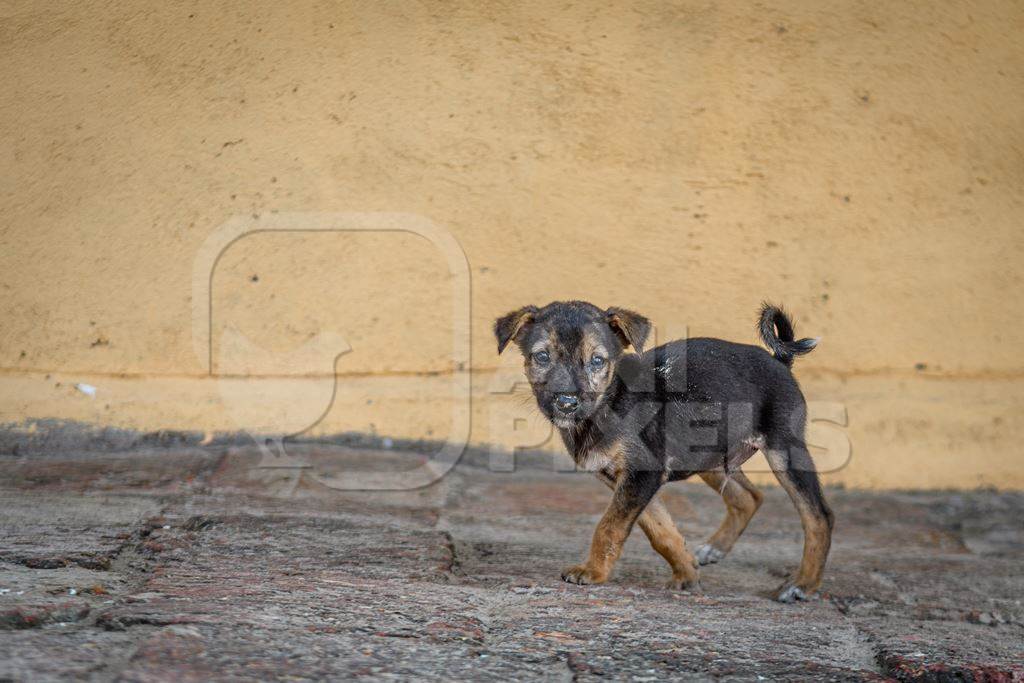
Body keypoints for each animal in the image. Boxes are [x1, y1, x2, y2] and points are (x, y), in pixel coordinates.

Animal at [493, 301, 831, 602]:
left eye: (597, 361)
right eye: (542, 356)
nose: (566, 402)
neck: (611, 402)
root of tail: (779, 360)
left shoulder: (642, 474)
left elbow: (609, 527)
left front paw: (592, 572)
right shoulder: (632, 480)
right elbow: (661, 532)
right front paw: (687, 575)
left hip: (784, 449)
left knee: (818, 516)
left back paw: (802, 585)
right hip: (709, 456)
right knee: (749, 496)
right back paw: (715, 549)